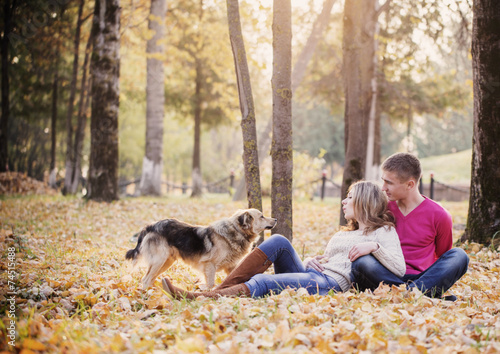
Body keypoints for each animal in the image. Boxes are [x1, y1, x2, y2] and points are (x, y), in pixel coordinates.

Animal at [123, 209, 276, 290]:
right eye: (262, 216)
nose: (275, 219)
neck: (236, 231)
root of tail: (150, 226)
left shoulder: (231, 267)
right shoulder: (210, 265)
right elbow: (211, 283)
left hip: (166, 262)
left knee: (149, 279)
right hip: (159, 261)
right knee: (146, 279)